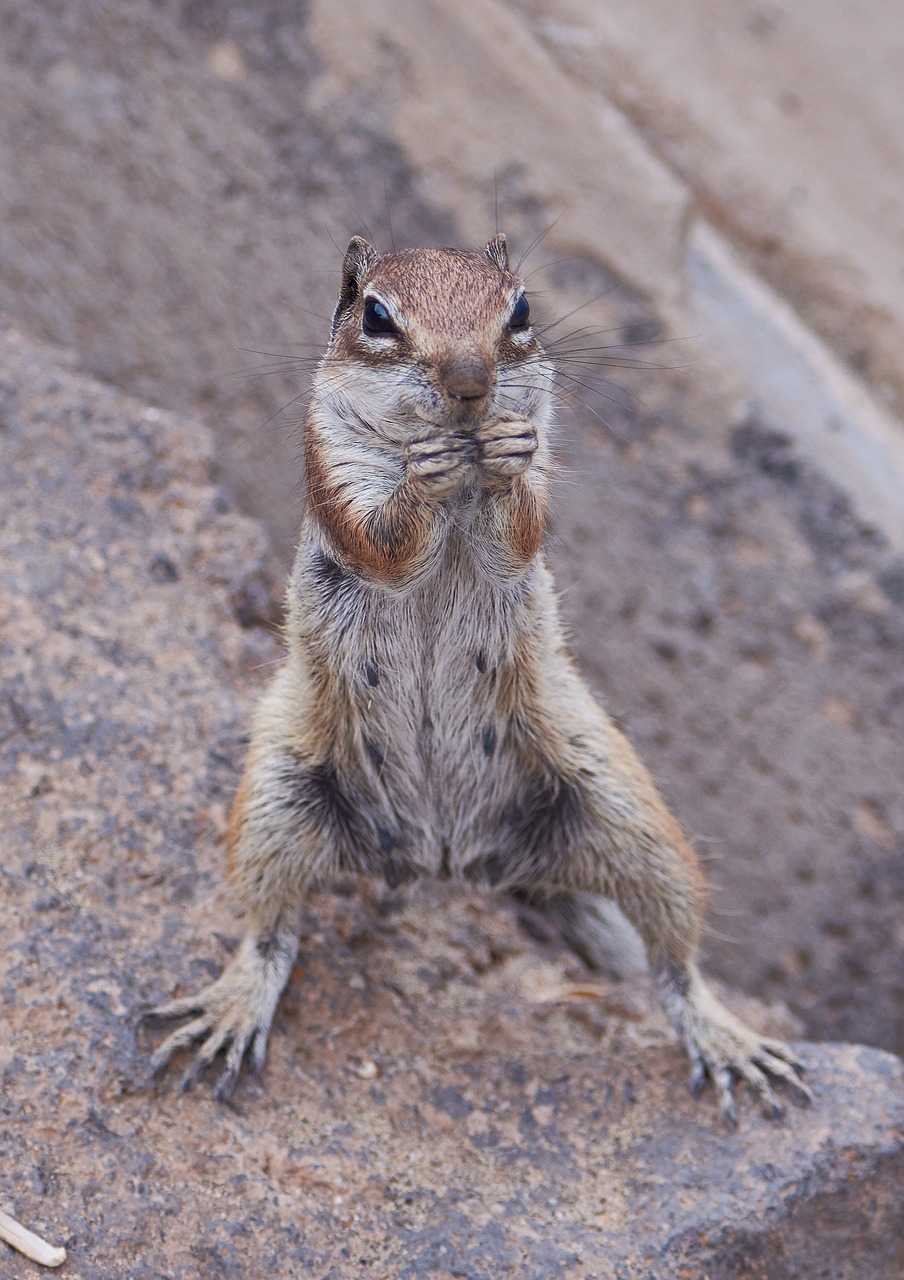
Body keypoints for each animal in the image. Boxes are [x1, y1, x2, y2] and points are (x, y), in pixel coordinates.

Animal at [147, 232, 809, 1121]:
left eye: (521, 308)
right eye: (376, 317)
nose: (470, 384)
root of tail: (449, 857)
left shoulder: (536, 470)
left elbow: (520, 526)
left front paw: (504, 458)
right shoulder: (332, 463)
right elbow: (380, 539)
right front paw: (422, 477)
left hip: (623, 808)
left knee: (676, 963)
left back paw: (726, 1037)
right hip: (277, 800)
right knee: (269, 934)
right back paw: (231, 1008)